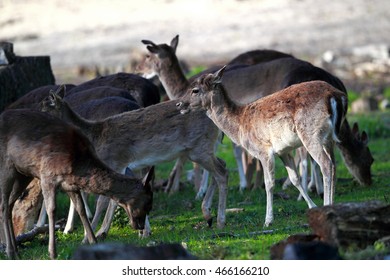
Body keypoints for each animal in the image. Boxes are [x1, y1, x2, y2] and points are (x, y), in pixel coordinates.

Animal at [0, 108, 154, 260]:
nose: (140, 226)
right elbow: (52, 210)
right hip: (7, 167)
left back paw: (15, 251)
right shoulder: (47, 176)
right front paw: (52, 252)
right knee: (4, 205)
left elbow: (81, 210)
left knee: (10, 204)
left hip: (23, 174)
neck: (77, 165)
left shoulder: (70, 185)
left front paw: (93, 242)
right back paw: (10, 251)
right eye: (148, 202)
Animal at [179, 66, 348, 226]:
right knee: (334, 165)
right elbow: (295, 178)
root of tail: (336, 96)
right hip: (329, 138)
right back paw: (332, 206)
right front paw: (312, 206)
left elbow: (269, 183)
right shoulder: (283, 151)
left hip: (311, 134)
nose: (179, 104)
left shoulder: (263, 150)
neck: (240, 126)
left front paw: (268, 220)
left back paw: (326, 206)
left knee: (326, 164)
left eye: (195, 90)